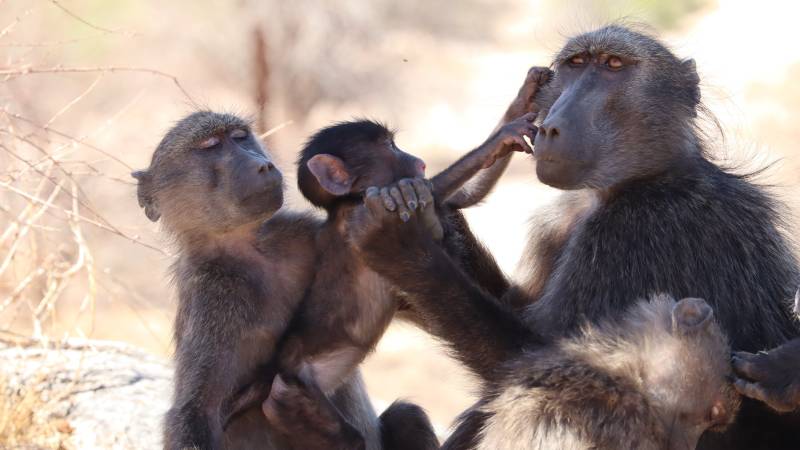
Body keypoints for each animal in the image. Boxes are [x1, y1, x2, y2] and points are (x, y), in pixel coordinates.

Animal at [345, 25, 800, 450]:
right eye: (575, 64)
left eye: (613, 65)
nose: (550, 128)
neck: (644, 178)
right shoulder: (558, 224)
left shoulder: (636, 230)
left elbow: (546, 369)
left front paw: (405, 247)